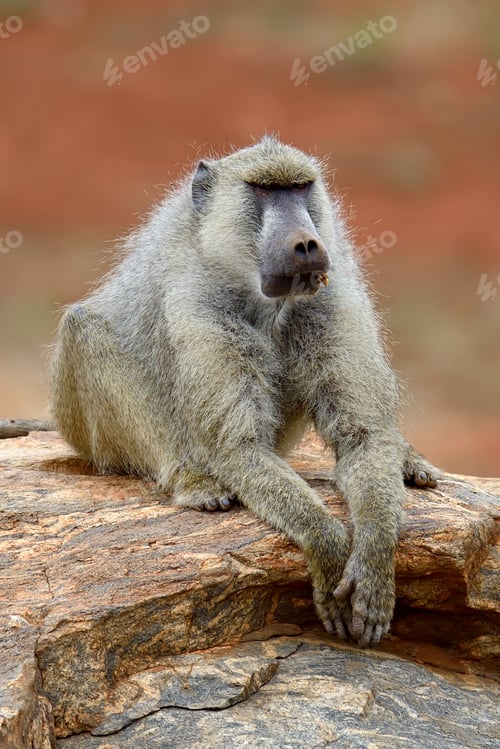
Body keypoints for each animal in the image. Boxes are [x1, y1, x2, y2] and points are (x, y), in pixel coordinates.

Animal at [49, 136, 439, 647]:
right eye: (264, 190)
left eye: (300, 188)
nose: (307, 243)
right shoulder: (200, 305)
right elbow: (238, 447)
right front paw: (329, 550)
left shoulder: (328, 299)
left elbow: (365, 437)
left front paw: (373, 565)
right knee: (85, 327)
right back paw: (191, 481)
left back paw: (408, 458)